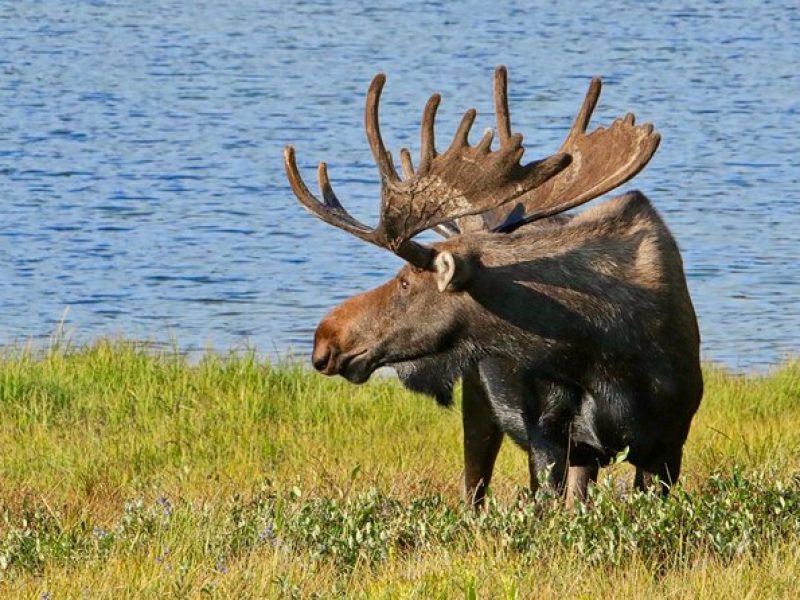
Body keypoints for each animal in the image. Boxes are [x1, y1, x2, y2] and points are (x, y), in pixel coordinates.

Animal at [284, 67, 704, 506]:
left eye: (405, 282)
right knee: (474, 493)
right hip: (482, 405)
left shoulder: (667, 444)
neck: (601, 352)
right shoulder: (548, 439)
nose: (325, 339)